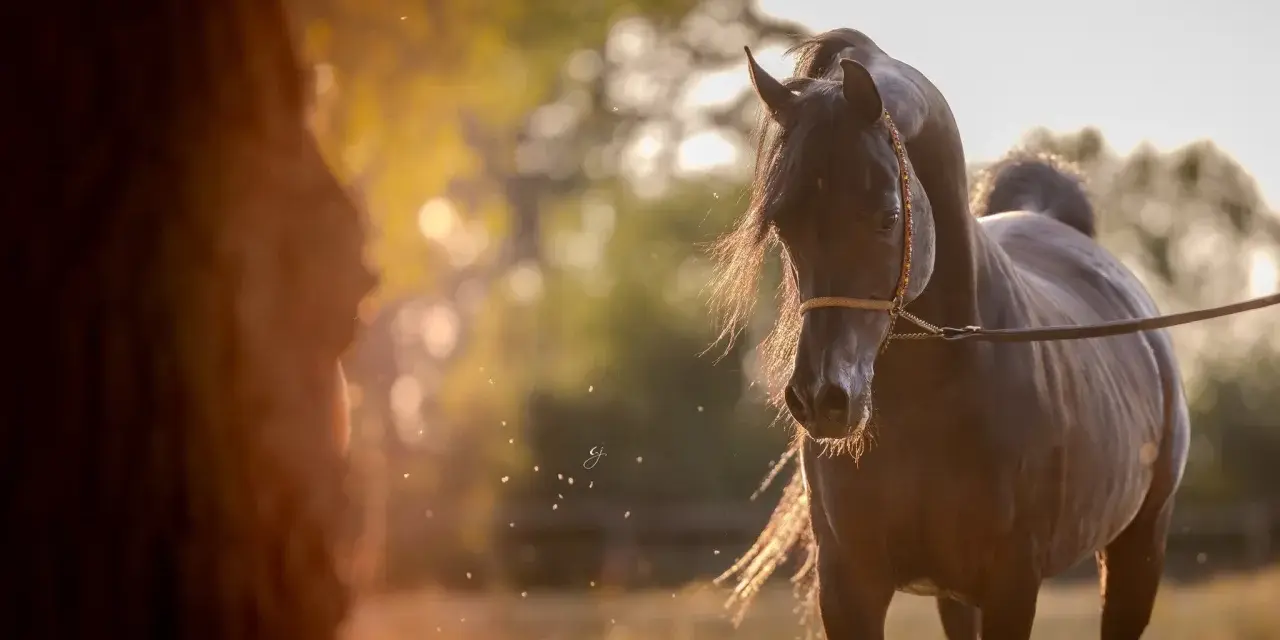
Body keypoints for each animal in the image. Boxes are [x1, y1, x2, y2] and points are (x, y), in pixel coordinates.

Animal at [710, 29, 1189, 639]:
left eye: (888, 216)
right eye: (783, 222)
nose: (822, 398)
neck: (932, 398)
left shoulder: (1013, 585)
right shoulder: (849, 588)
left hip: (1138, 550)